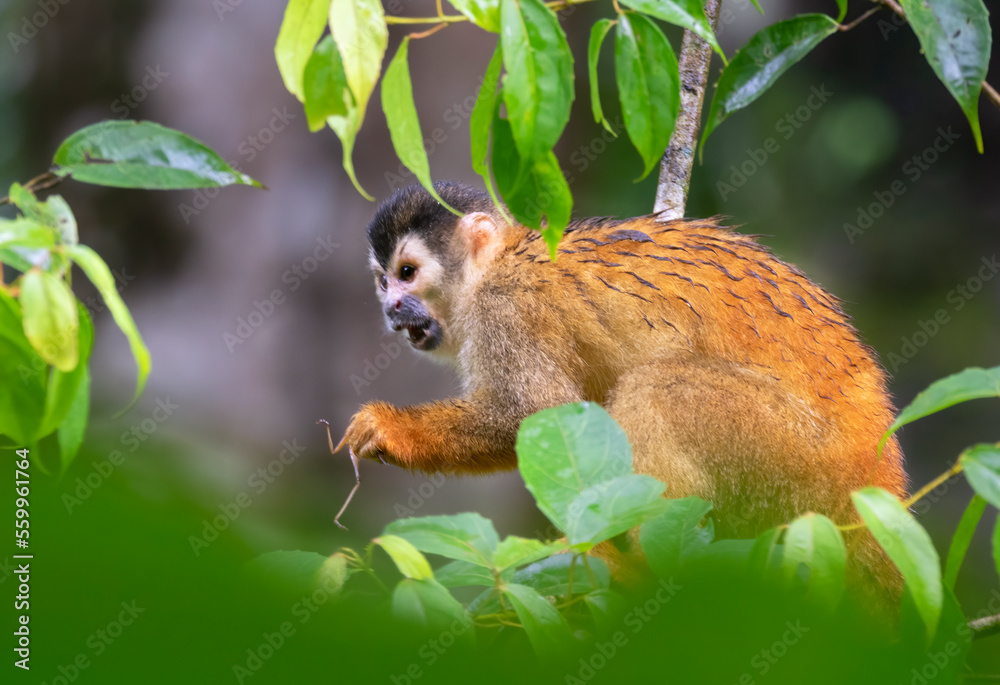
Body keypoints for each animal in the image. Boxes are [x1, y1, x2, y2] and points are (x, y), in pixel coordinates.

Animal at [341, 181, 907, 606]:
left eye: (408, 273)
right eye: (383, 280)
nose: (392, 308)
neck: (498, 264)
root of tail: (875, 467)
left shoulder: (505, 309)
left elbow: (534, 415)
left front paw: (387, 429)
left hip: (803, 458)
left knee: (655, 389)